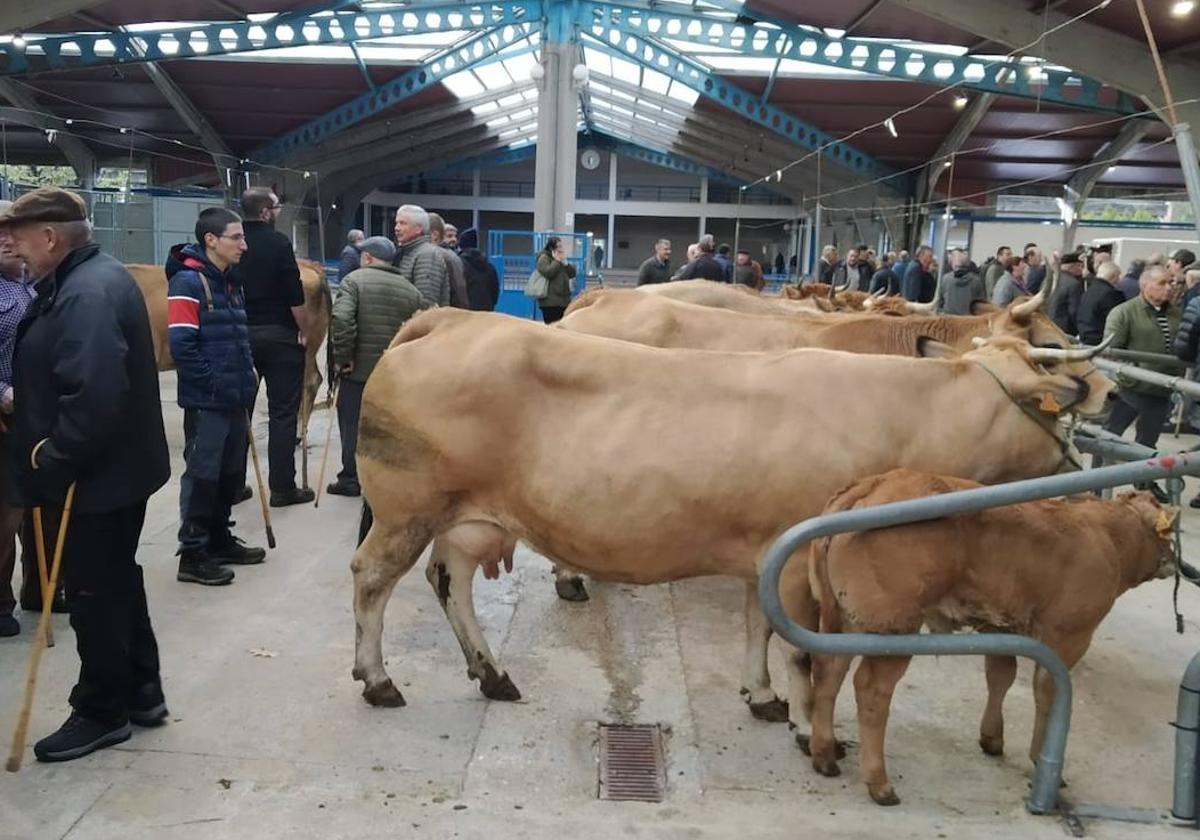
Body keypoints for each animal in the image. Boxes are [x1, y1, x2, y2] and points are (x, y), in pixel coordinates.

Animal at [350, 307, 1113, 715]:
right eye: (1050, 393)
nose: (1101, 400)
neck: (906, 410)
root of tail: (448, 317)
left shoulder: (766, 552)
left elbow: (758, 625)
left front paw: (759, 693)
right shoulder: (804, 555)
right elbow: (798, 643)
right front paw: (797, 713)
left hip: (467, 519)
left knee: (449, 582)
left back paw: (492, 674)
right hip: (406, 511)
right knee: (371, 580)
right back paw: (379, 679)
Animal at [801, 470, 1176, 801]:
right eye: (1168, 535)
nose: (1173, 562)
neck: (1108, 535)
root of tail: (875, 483)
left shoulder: (1001, 627)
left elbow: (1000, 675)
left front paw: (992, 737)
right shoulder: (1069, 635)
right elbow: (1049, 691)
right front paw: (1043, 761)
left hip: (847, 619)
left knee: (829, 669)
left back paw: (824, 753)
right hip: (894, 627)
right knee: (871, 689)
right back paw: (879, 783)